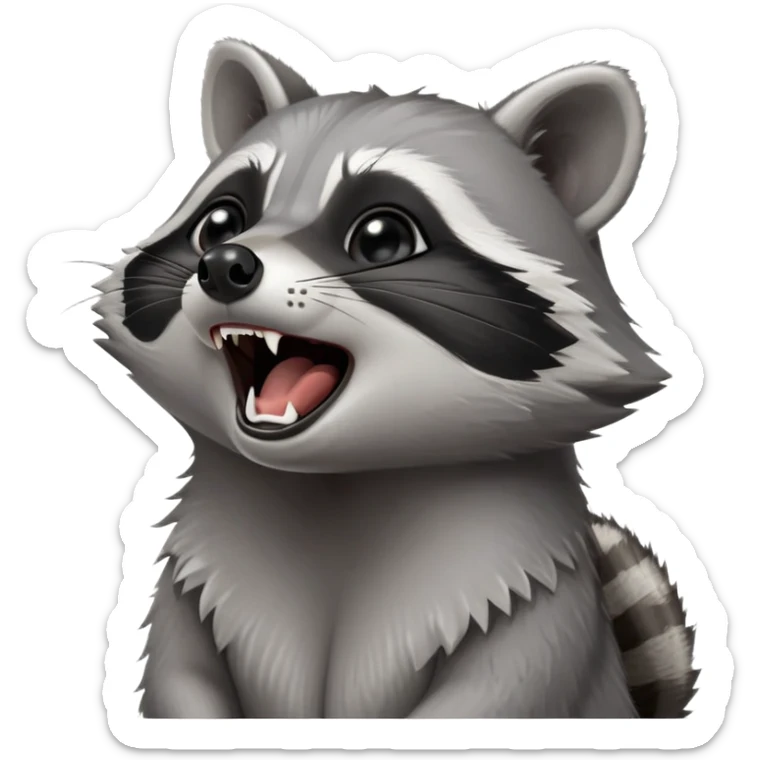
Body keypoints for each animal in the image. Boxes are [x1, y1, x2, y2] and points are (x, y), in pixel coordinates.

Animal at [92, 39, 697, 718]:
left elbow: (502, 692)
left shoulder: (530, 605)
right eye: (220, 222)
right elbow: (180, 680)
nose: (223, 265)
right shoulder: (188, 590)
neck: (337, 480)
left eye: (382, 237)